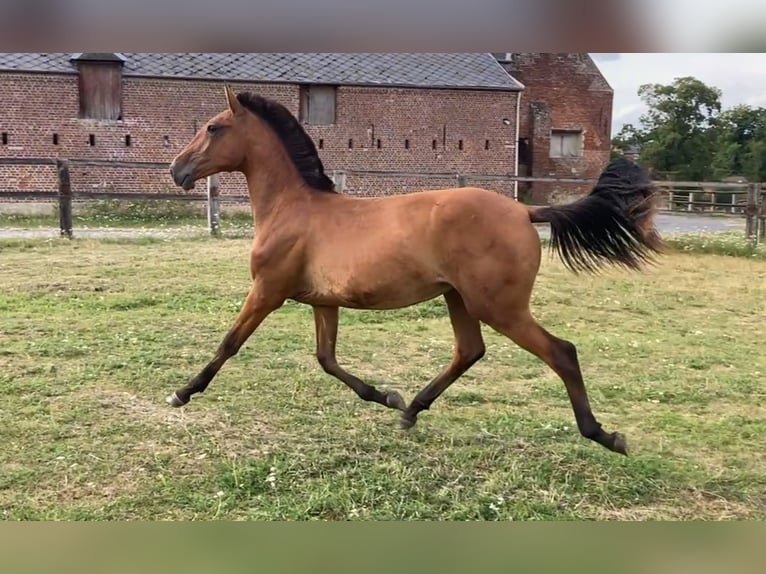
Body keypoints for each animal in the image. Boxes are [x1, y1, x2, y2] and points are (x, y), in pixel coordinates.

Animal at [167, 85, 661, 456]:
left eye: (213, 127)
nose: (176, 170)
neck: (294, 209)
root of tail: (525, 212)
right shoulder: (323, 302)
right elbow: (327, 359)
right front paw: (386, 397)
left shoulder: (267, 291)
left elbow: (230, 343)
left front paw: (182, 393)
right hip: (458, 297)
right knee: (470, 351)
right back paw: (411, 411)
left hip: (498, 306)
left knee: (562, 352)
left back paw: (604, 435)